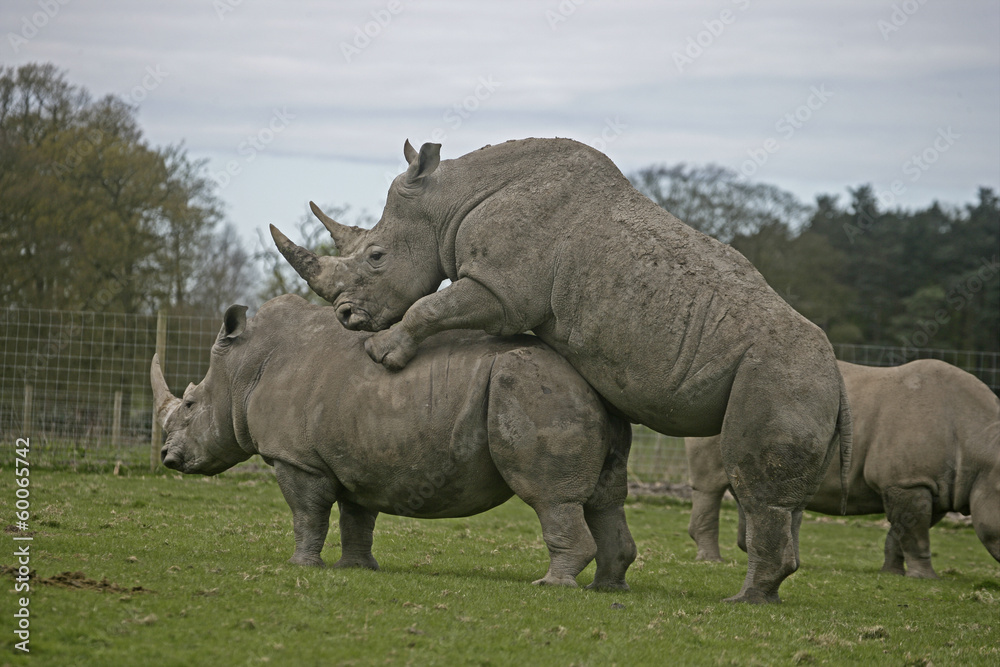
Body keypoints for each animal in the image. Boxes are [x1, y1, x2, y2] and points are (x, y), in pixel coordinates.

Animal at [151, 294, 636, 589]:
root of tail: (590, 381)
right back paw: (606, 587)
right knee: (605, 499)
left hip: (532, 387)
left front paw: (301, 567)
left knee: (550, 497)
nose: (167, 458)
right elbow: (356, 517)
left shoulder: (297, 459)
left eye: (190, 404)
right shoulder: (353, 455)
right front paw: (355, 568)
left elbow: (307, 515)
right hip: (579, 395)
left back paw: (552, 586)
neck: (240, 372)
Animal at [270, 137, 852, 603]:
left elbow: (431, 306)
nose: (347, 319)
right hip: (802, 378)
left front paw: (382, 355)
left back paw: (743, 601)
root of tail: (841, 377)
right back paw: (756, 594)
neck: (451, 197)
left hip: (782, 370)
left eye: (376, 256)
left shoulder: (501, 290)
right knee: (782, 498)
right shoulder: (503, 288)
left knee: (757, 485)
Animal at [686, 359, 1000, 577]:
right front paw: (925, 578)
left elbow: (902, 531)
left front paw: (892, 573)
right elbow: (916, 535)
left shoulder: (932, 487)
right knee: (710, 486)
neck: (980, 444)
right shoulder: (908, 481)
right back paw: (712, 560)